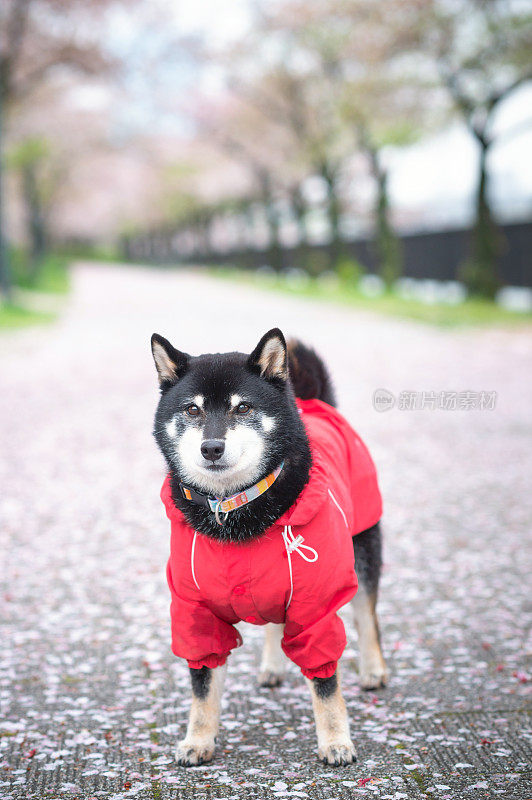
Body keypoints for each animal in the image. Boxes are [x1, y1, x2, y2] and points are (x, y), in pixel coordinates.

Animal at [150, 328, 386, 764]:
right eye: (192, 410)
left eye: (243, 407)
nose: (211, 447)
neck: (232, 510)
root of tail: (314, 400)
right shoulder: (195, 613)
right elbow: (203, 687)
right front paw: (198, 739)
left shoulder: (315, 607)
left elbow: (326, 684)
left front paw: (335, 740)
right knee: (276, 622)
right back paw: (274, 667)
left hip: (363, 547)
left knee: (367, 614)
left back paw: (374, 670)